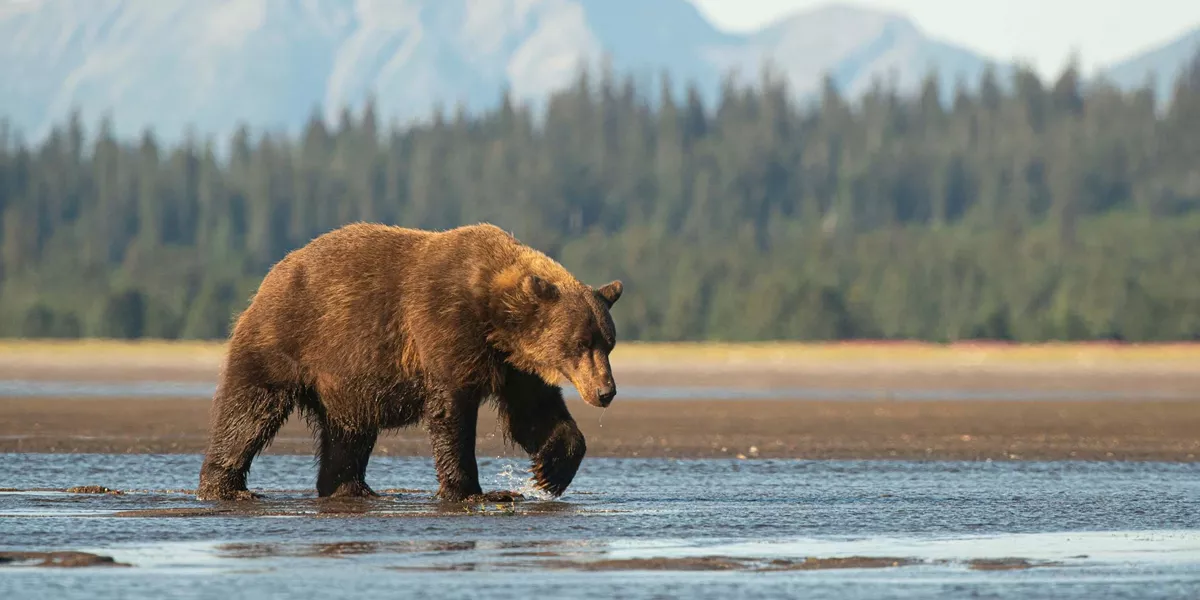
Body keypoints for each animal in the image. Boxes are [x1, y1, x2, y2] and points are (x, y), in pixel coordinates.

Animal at [195, 222, 623, 503]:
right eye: (580, 342)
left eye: (609, 343)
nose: (606, 391)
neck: (495, 316)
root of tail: (274, 273)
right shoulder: (445, 327)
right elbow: (451, 413)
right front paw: (473, 491)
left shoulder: (513, 365)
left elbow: (534, 413)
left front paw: (549, 472)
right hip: (289, 339)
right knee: (249, 410)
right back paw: (226, 487)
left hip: (346, 380)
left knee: (348, 433)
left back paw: (350, 488)